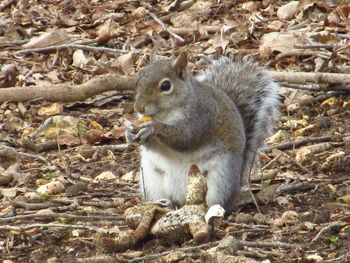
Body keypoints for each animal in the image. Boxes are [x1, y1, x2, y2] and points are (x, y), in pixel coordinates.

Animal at [126, 52, 282, 213]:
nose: (139, 108)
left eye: (165, 86)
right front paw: (130, 133)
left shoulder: (201, 115)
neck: (164, 114)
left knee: (215, 202)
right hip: (151, 178)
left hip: (221, 178)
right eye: (137, 80)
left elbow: (186, 138)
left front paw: (154, 128)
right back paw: (165, 204)